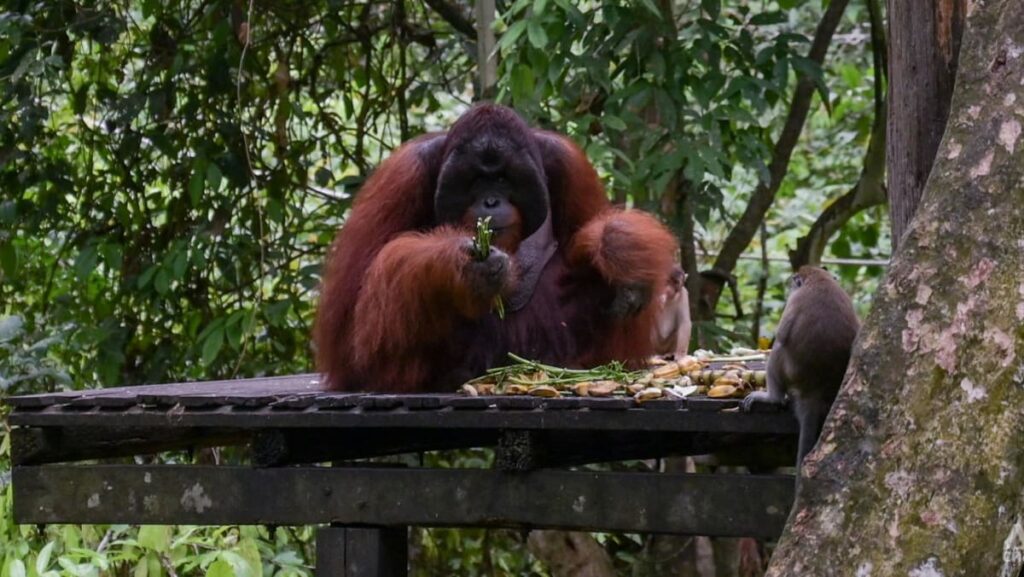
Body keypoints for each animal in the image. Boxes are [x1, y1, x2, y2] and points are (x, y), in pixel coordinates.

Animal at [741, 266, 859, 469]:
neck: (819, 279)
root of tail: (814, 389)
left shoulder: (794, 301)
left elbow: (781, 337)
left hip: (790, 372)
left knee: (778, 349)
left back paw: (772, 397)